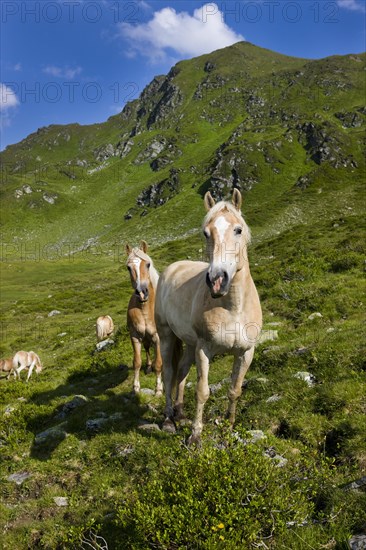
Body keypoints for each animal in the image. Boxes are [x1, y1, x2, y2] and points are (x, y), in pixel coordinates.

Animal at [156, 190, 262, 444]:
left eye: (238, 230)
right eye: (206, 232)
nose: (216, 280)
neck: (234, 308)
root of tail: (172, 267)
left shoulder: (246, 352)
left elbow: (235, 389)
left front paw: (229, 426)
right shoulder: (204, 349)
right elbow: (202, 391)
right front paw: (196, 436)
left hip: (188, 343)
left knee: (182, 372)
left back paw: (180, 413)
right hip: (166, 336)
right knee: (169, 374)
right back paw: (169, 419)